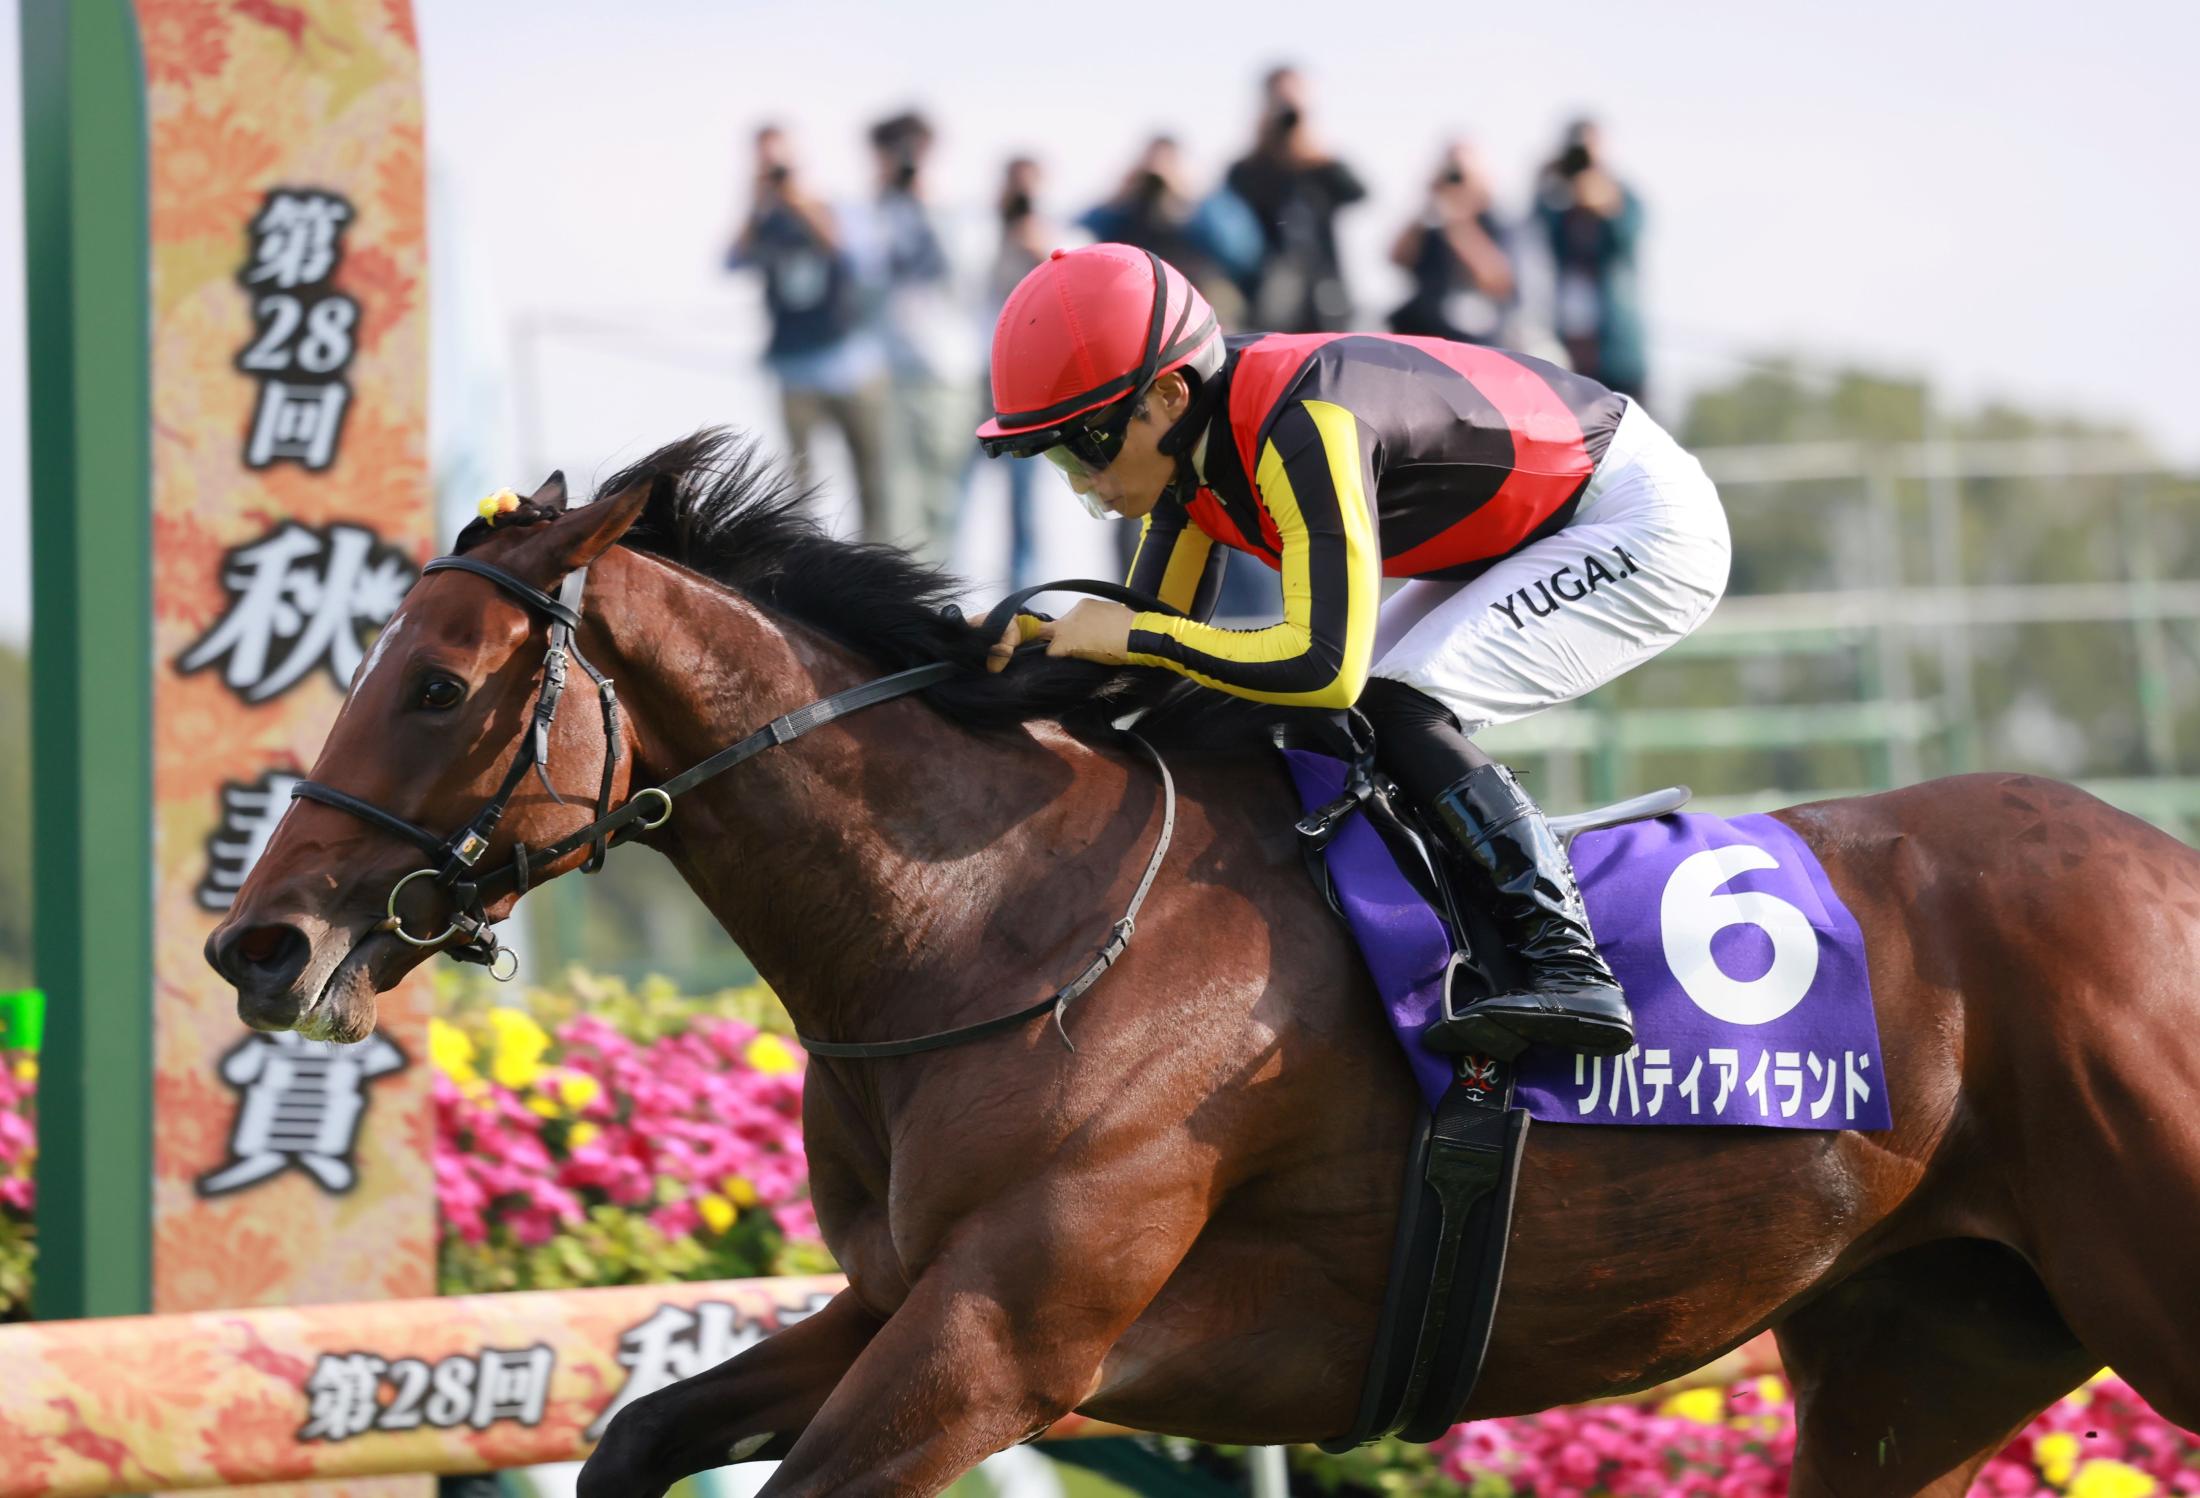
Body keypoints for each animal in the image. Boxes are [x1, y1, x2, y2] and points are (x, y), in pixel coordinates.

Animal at [208, 432, 2200, 1497]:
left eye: (438, 684)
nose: (257, 939)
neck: (993, 915)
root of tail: (2160, 863)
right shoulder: (900, 1297)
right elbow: (633, 1433)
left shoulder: (1008, 1336)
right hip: (1922, 1347)